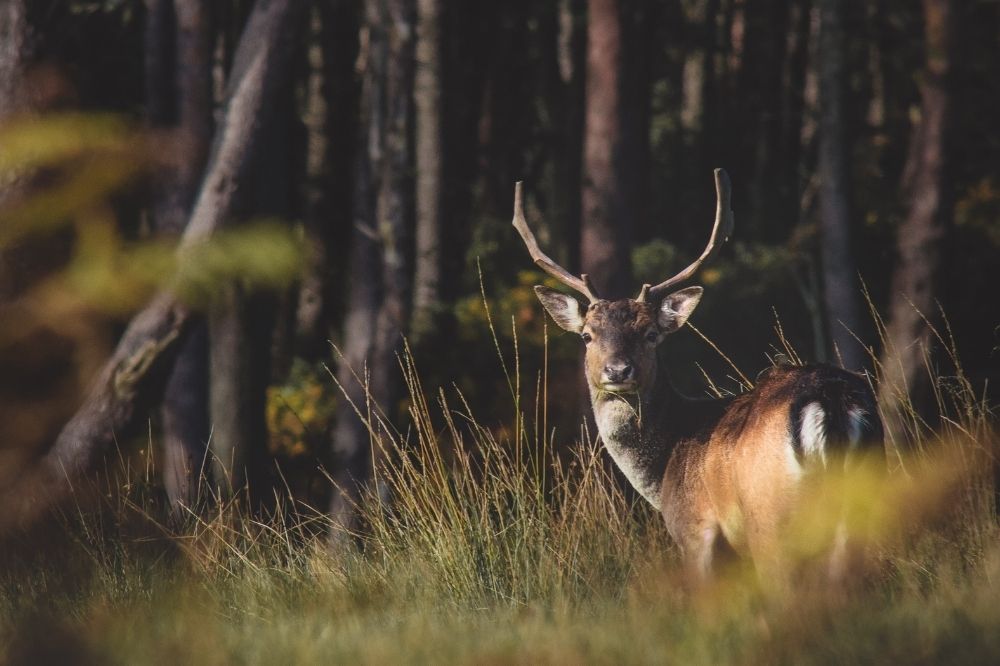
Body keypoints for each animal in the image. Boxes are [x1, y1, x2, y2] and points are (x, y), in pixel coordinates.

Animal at [516, 169, 884, 584]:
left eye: (651, 334)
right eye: (587, 335)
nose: (618, 370)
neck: (663, 471)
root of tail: (830, 399)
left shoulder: (696, 529)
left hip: (770, 517)